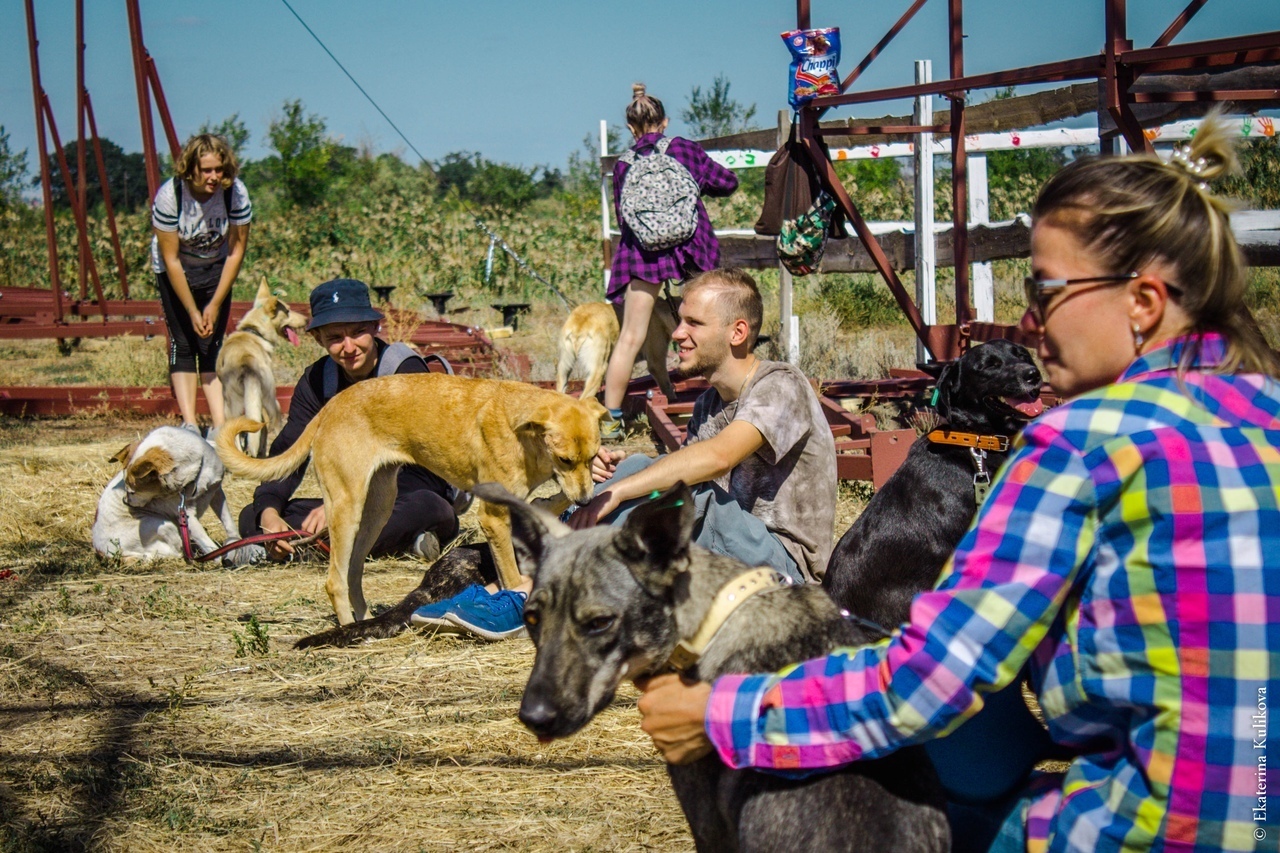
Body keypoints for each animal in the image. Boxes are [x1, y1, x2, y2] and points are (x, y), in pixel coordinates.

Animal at [92, 425, 264, 563]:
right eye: (127, 489)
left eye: (133, 491)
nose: (125, 501)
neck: (193, 479)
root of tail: (102, 551)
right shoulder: (187, 516)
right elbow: (207, 542)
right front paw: (219, 558)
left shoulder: (216, 492)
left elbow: (228, 522)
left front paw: (236, 542)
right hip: (163, 525)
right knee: (174, 551)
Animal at [215, 279, 307, 455]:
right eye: (288, 311)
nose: (306, 319)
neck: (253, 330)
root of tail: (246, 364)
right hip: (270, 401)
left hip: (232, 408)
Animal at [216, 371, 609, 625]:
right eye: (565, 459)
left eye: (592, 457)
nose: (586, 502)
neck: (521, 431)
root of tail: (331, 406)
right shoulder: (493, 517)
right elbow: (512, 577)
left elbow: (551, 502)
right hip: (346, 507)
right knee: (334, 580)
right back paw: (348, 628)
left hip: (377, 510)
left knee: (353, 573)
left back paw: (365, 620)